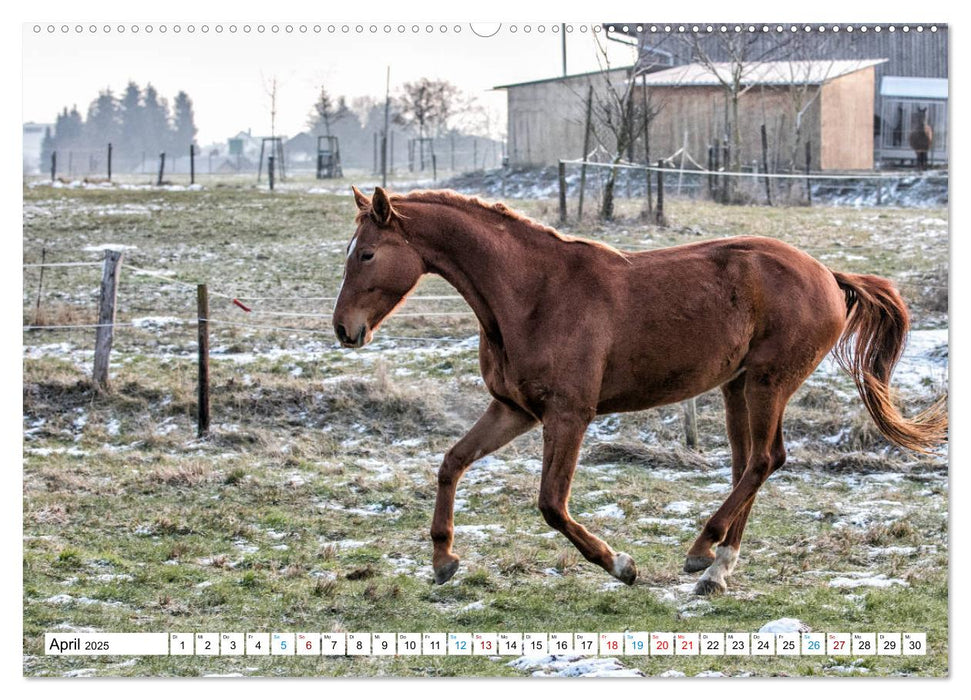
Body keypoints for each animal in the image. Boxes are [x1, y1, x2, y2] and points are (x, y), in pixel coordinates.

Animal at [336, 187, 948, 596]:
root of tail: (830, 276)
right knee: (749, 465)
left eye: (366, 254)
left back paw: (702, 552)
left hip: (769, 383)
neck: (531, 293)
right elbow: (452, 462)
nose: (345, 330)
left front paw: (621, 565)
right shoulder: (513, 409)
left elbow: (551, 504)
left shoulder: (570, 414)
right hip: (737, 387)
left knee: (765, 460)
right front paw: (443, 559)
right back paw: (719, 568)